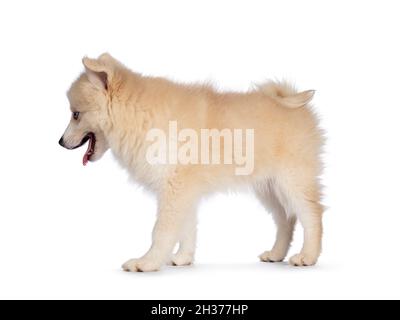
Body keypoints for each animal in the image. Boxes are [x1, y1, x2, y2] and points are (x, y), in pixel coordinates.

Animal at [57, 53, 324, 272]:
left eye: (75, 114)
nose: (59, 142)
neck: (137, 115)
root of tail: (292, 100)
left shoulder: (175, 187)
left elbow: (162, 230)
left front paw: (147, 262)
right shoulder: (182, 190)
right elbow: (186, 228)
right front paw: (183, 258)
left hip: (292, 181)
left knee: (311, 215)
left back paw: (308, 257)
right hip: (269, 187)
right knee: (286, 220)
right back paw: (276, 254)